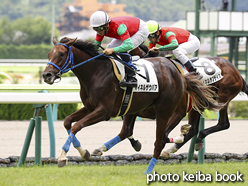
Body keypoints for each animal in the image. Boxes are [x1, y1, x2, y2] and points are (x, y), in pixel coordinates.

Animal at [41, 37, 222, 174]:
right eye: (49, 54)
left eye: (62, 54)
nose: (46, 75)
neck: (96, 72)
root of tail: (180, 74)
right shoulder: (90, 107)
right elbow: (68, 122)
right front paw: (83, 152)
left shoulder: (104, 111)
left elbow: (77, 126)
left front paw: (63, 157)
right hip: (136, 107)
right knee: (137, 132)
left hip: (165, 110)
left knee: (160, 140)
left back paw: (149, 170)